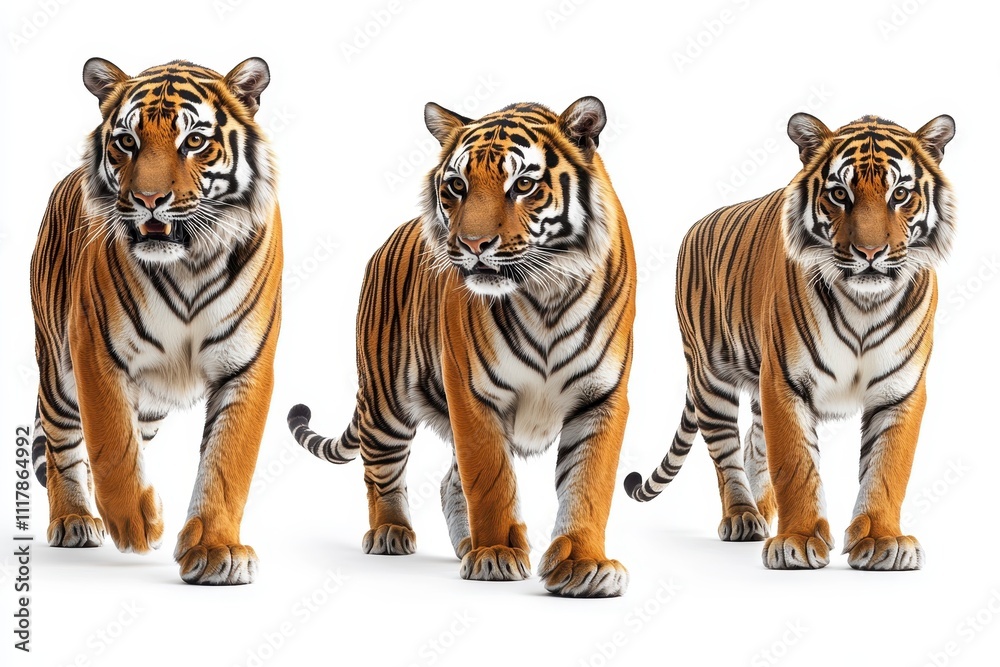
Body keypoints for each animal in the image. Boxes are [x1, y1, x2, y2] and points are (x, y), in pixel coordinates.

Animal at [29, 57, 282, 585]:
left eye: (195, 141)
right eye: (127, 141)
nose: (149, 199)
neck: (189, 262)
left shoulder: (246, 364)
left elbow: (228, 463)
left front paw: (216, 550)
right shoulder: (95, 348)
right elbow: (109, 441)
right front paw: (133, 521)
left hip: (149, 404)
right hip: (59, 374)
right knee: (65, 443)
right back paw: (75, 518)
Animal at [288, 97, 635, 597]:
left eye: (523, 185)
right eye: (457, 185)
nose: (472, 245)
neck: (546, 294)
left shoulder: (602, 396)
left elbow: (589, 484)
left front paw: (584, 564)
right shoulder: (471, 394)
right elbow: (489, 478)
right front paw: (496, 554)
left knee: (448, 481)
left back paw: (465, 543)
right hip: (385, 401)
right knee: (382, 470)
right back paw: (392, 531)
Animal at [624, 113, 956, 570]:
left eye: (900, 194)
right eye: (839, 194)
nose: (870, 253)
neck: (864, 304)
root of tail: (696, 225)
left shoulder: (900, 389)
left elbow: (887, 468)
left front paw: (882, 539)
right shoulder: (784, 382)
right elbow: (795, 465)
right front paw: (797, 541)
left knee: (753, 446)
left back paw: (764, 513)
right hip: (710, 378)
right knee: (726, 454)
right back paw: (743, 516)